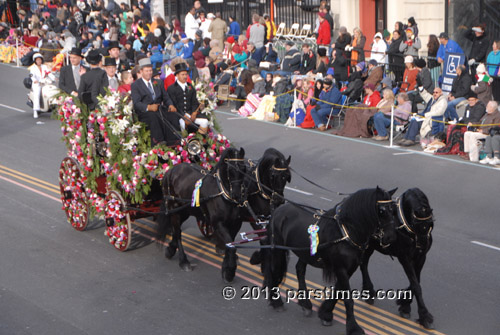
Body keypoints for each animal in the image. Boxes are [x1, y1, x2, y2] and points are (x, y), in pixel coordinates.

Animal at [157, 148, 247, 282]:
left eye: (244, 168)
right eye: (230, 170)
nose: (237, 195)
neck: (222, 194)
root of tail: (170, 171)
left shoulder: (235, 223)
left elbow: (230, 244)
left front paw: (226, 268)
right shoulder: (218, 224)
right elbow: (230, 245)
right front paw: (229, 271)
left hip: (184, 212)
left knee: (175, 230)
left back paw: (170, 249)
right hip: (174, 211)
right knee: (178, 233)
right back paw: (184, 261)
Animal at [264, 188, 396, 334]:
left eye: (393, 209)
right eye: (381, 210)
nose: (390, 237)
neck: (345, 233)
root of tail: (278, 210)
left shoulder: (350, 267)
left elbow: (338, 291)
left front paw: (325, 313)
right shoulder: (340, 268)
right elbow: (347, 298)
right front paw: (353, 327)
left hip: (304, 252)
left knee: (300, 270)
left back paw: (305, 304)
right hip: (277, 249)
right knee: (275, 271)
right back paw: (277, 302)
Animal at [360, 188, 434, 330]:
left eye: (430, 224)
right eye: (417, 224)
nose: (422, 245)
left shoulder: (421, 257)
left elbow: (416, 281)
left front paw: (404, 304)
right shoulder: (404, 257)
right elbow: (416, 285)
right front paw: (424, 316)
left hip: (370, 246)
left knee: (363, 263)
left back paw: (369, 291)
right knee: (362, 264)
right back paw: (368, 291)